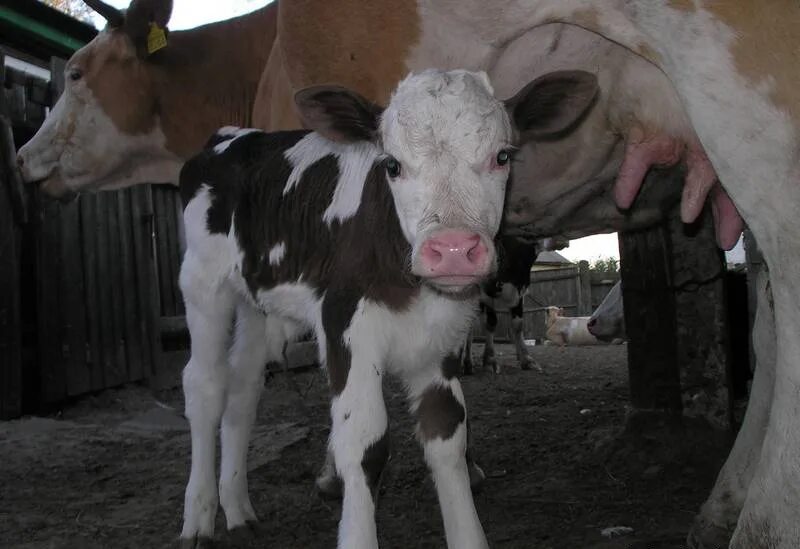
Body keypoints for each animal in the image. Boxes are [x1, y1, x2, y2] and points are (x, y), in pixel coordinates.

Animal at [175, 69, 600, 548]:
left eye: (503, 156)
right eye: (392, 165)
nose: (453, 250)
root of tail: (233, 135)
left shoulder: (443, 339)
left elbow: (446, 434)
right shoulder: (344, 326)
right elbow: (365, 445)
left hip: (258, 303)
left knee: (244, 386)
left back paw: (238, 509)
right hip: (204, 283)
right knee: (205, 384)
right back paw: (199, 518)